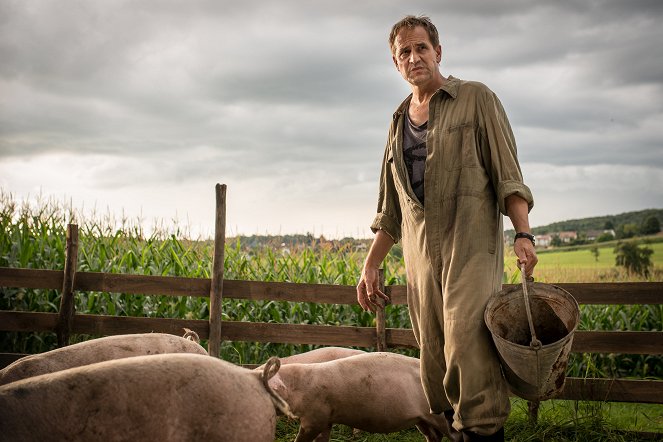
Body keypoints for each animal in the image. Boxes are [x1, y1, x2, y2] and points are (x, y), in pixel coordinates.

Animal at [268, 352, 454, 442]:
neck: (298, 387)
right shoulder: (327, 419)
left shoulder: (315, 417)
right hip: (422, 420)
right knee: (434, 436)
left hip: (441, 418)